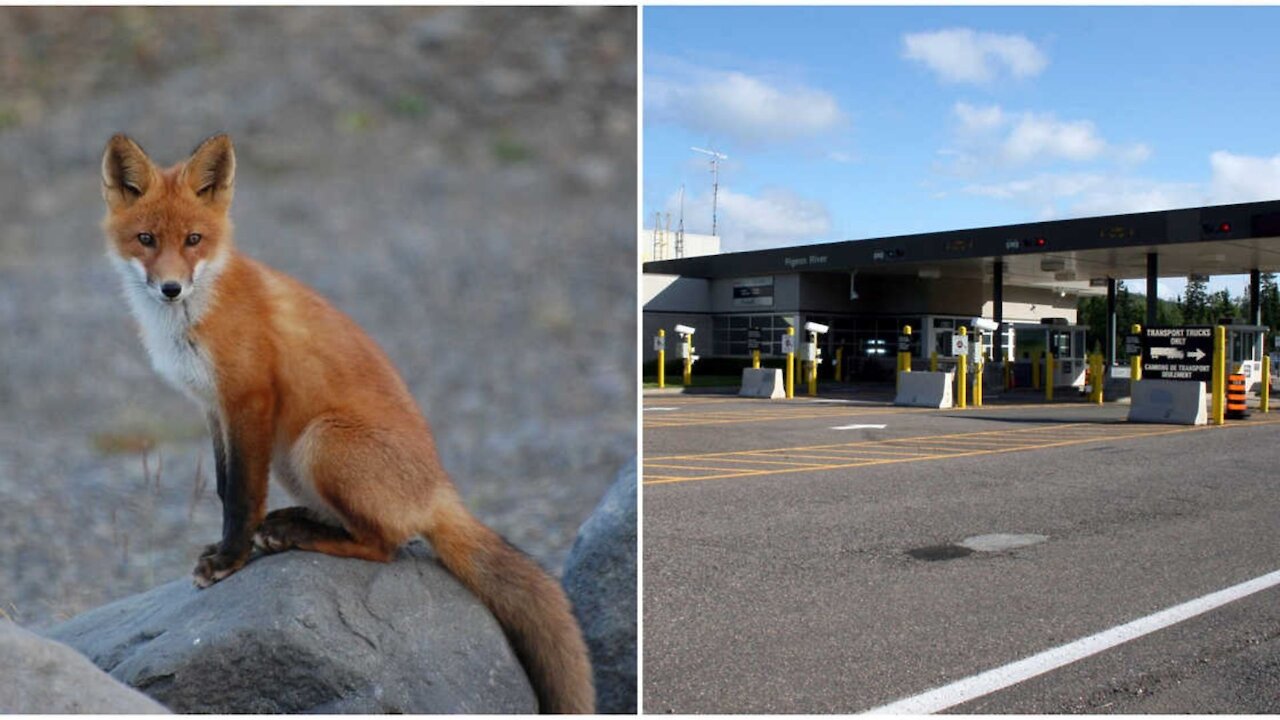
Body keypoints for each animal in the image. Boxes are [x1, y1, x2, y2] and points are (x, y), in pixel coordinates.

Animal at [102, 134, 596, 712]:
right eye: (146, 240)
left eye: (194, 240)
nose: (171, 288)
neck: (193, 318)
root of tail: (440, 489)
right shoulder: (213, 407)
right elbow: (225, 488)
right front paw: (230, 549)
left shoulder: (250, 398)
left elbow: (242, 495)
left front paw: (229, 559)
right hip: (293, 458)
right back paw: (294, 523)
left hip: (319, 443)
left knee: (386, 545)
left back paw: (299, 535)